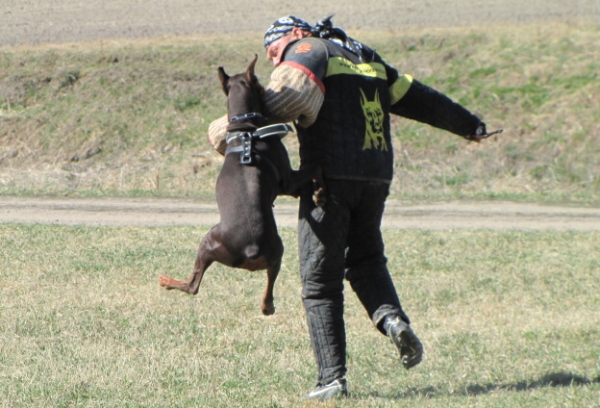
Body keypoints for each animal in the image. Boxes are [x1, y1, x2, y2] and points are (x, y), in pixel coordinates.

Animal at [157, 54, 322, 316]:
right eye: (261, 85)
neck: (246, 129)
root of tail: (250, 249)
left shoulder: (286, 184)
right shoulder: (287, 181)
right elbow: (312, 169)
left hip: (249, 247)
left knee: (257, 295)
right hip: (217, 242)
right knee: (195, 285)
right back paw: (167, 280)